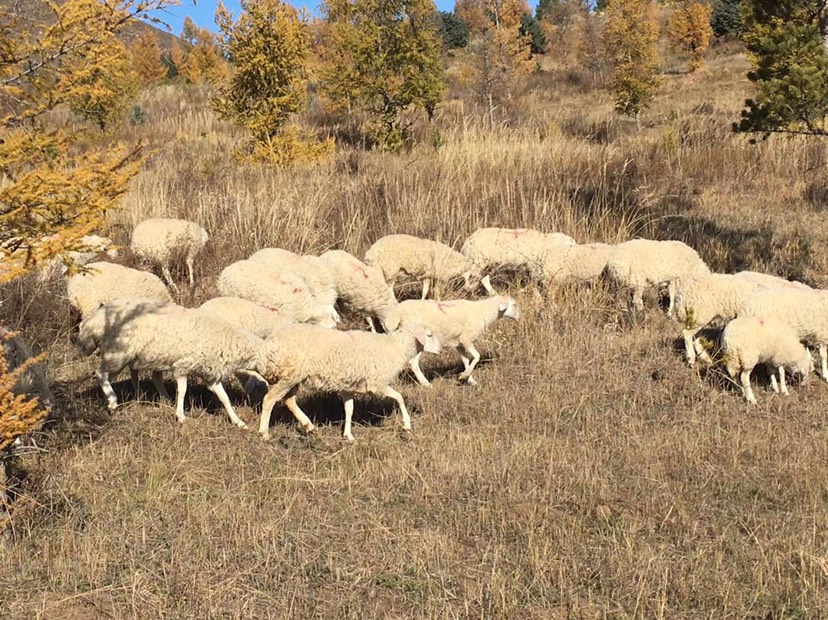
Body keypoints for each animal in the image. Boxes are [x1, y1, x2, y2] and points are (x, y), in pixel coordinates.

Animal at [92, 302, 266, 428]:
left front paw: (238, 421)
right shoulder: (182, 367)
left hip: (123, 358)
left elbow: (224, 398)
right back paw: (113, 401)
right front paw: (181, 416)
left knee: (108, 376)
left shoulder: (210, 373)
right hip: (118, 354)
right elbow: (182, 391)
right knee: (100, 373)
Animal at [258, 320, 444, 440]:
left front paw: (348, 435)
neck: (396, 347)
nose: (441, 350)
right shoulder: (377, 383)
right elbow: (399, 397)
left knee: (289, 400)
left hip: (295, 376)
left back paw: (308, 425)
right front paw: (407, 424)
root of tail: (270, 342)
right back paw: (264, 433)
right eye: (429, 335)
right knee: (269, 399)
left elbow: (349, 410)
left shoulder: (347, 387)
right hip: (290, 374)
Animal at [380, 294, 516, 386]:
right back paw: (426, 384)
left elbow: (466, 360)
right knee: (413, 362)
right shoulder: (466, 338)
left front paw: (468, 379)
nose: (519, 317)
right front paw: (466, 376)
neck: (481, 311)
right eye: (514, 305)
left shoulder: (459, 343)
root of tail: (396, 315)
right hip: (417, 341)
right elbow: (476, 356)